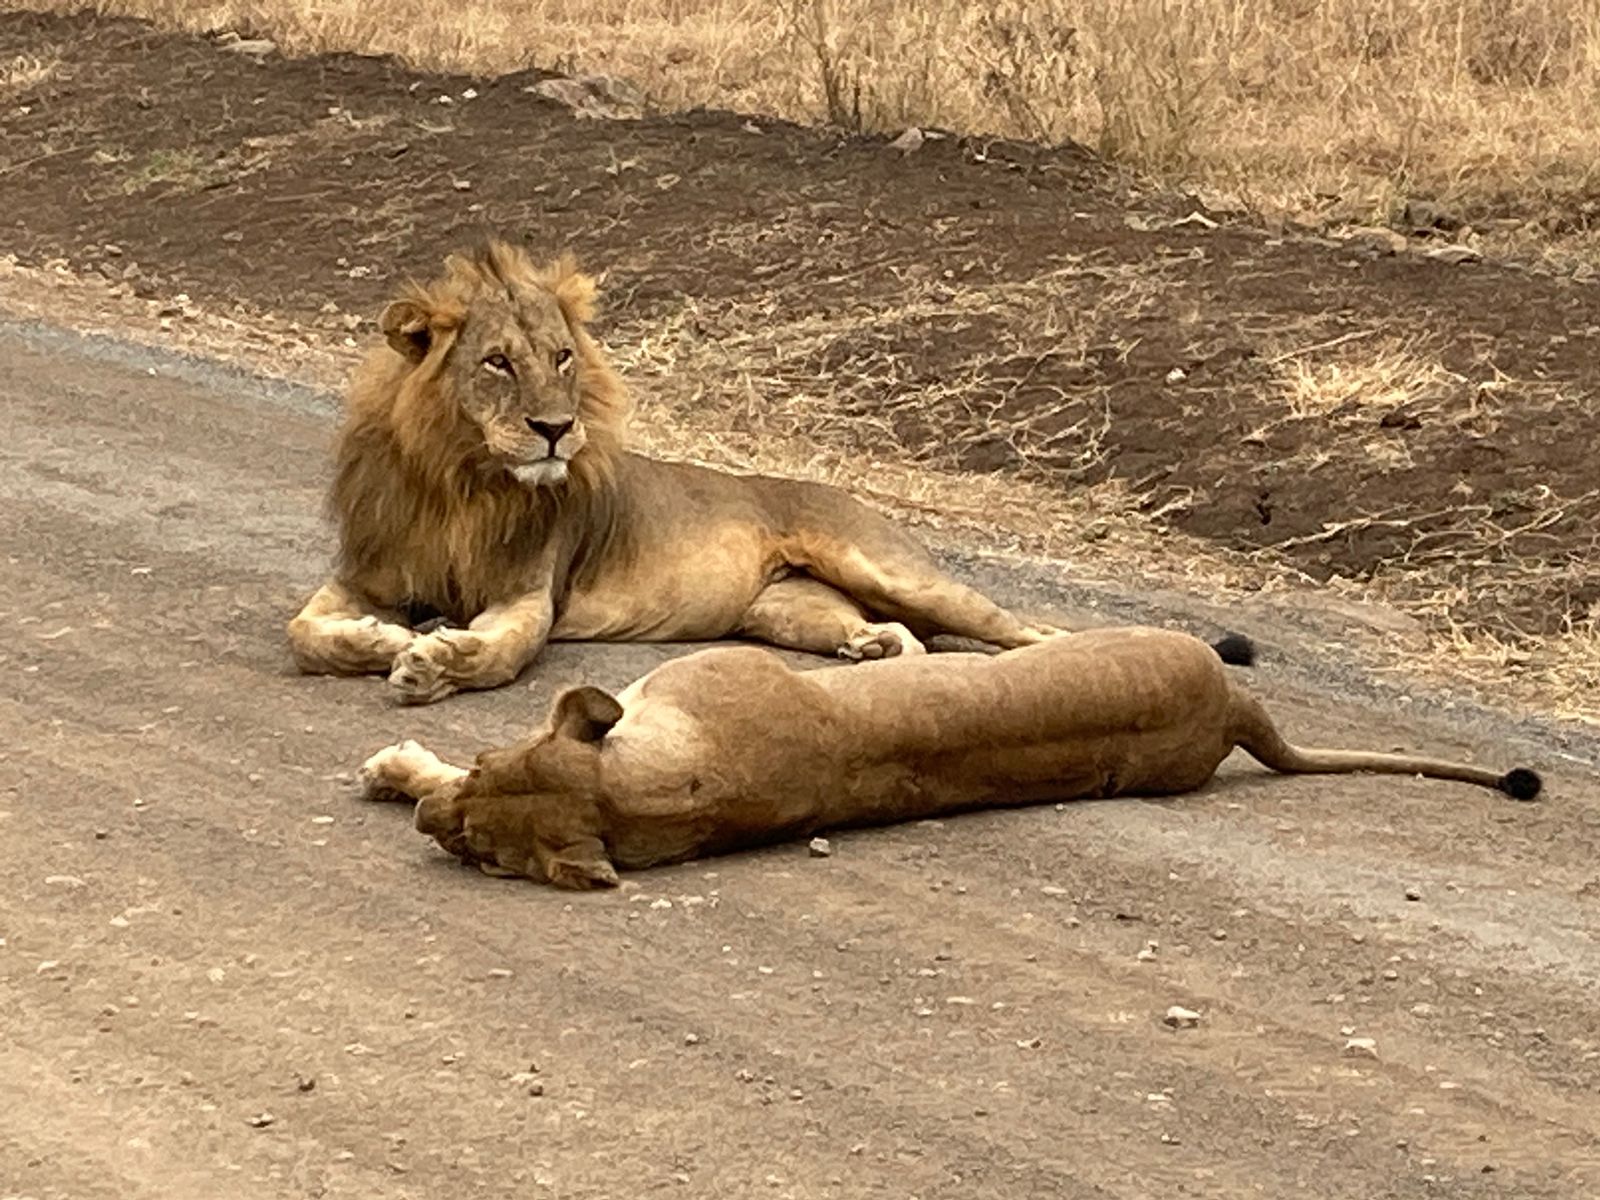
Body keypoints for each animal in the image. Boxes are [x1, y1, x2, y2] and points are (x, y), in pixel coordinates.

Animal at [287, 239, 1072, 704]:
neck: (462, 481)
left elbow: (502, 654)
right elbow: (304, 635)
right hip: (787, 610)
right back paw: (874, 646)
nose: (555, 430)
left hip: (885, 568)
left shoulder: (528, 597)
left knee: (1025, 633)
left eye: (562, 357)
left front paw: (433, 662)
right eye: (497, 362)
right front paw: (379, 639)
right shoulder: (367, 575)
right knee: (902, 637)